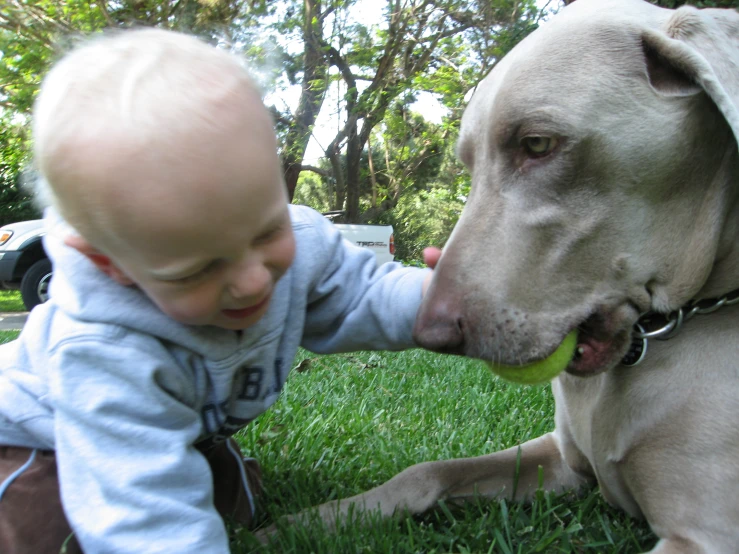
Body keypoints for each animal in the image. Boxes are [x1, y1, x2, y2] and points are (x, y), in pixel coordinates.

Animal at [282, 2, 739, 548]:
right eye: (467, 163)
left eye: (537, 144)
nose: (431, 334)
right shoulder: (564, 461)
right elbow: (426, 472)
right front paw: (314, 520)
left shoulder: (704, 537)